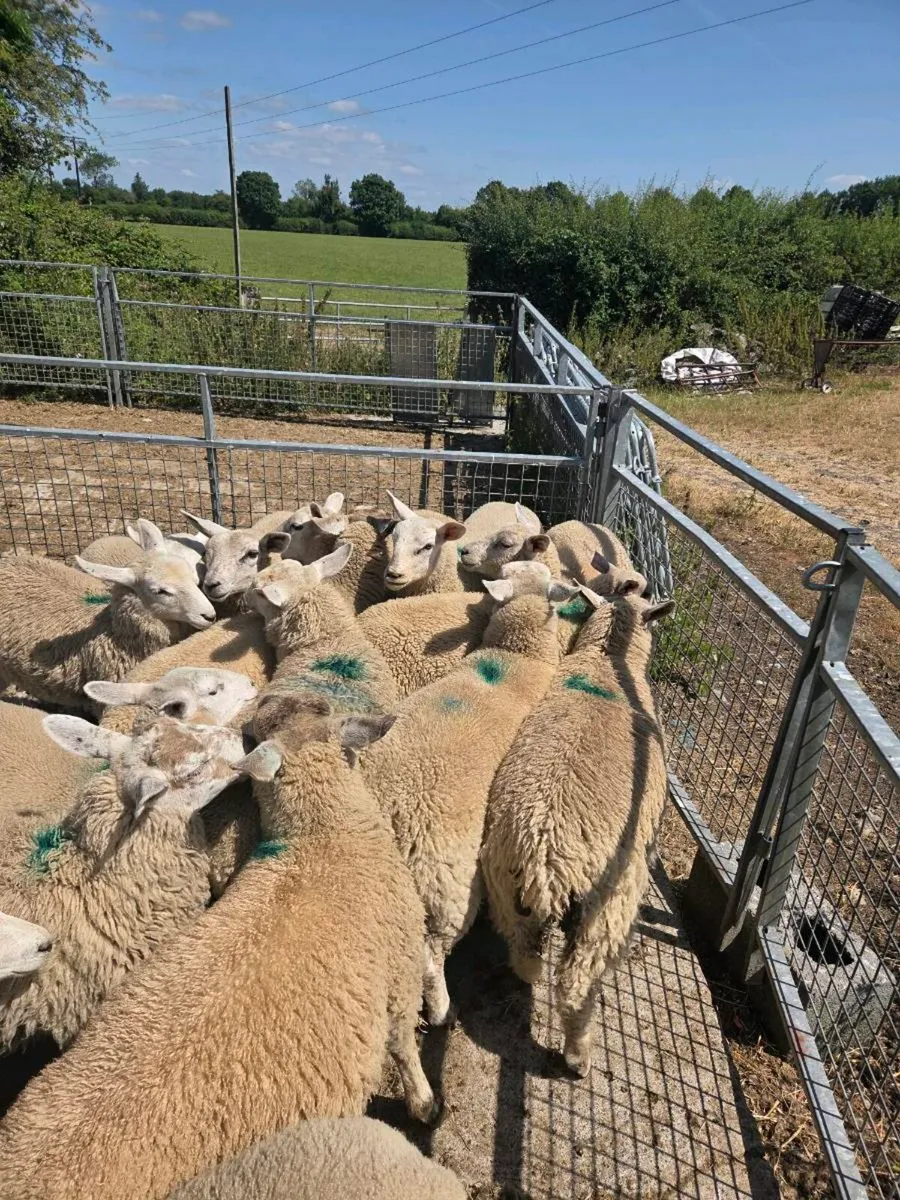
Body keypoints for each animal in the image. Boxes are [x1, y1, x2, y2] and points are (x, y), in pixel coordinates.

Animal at [480, 583, 675, 1077]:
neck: (607, 660)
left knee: (524, 951)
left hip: (505, 891)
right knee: (574, 984)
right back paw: (578, 1054)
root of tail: (540, 857)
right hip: (606, 908)